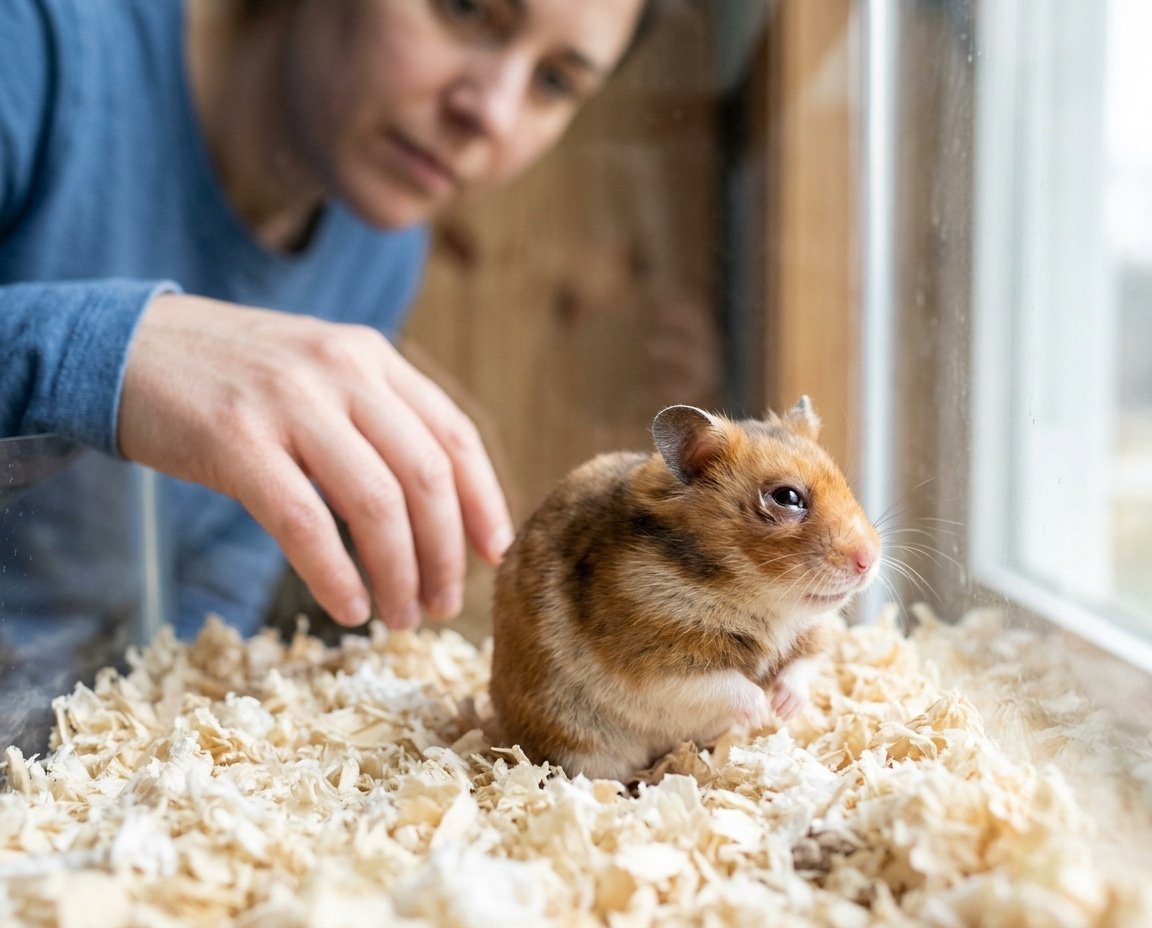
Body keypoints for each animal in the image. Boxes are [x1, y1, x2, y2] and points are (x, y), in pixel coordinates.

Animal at [488, 398, 882, 781]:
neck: (761, 601)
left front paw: (783, 708)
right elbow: (726, 685)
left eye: (843, 484)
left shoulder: (813, 634)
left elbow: (803, 666)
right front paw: (762, 711)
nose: (869, 559)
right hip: (582, 744)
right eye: (786, 497)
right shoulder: (657, 663)